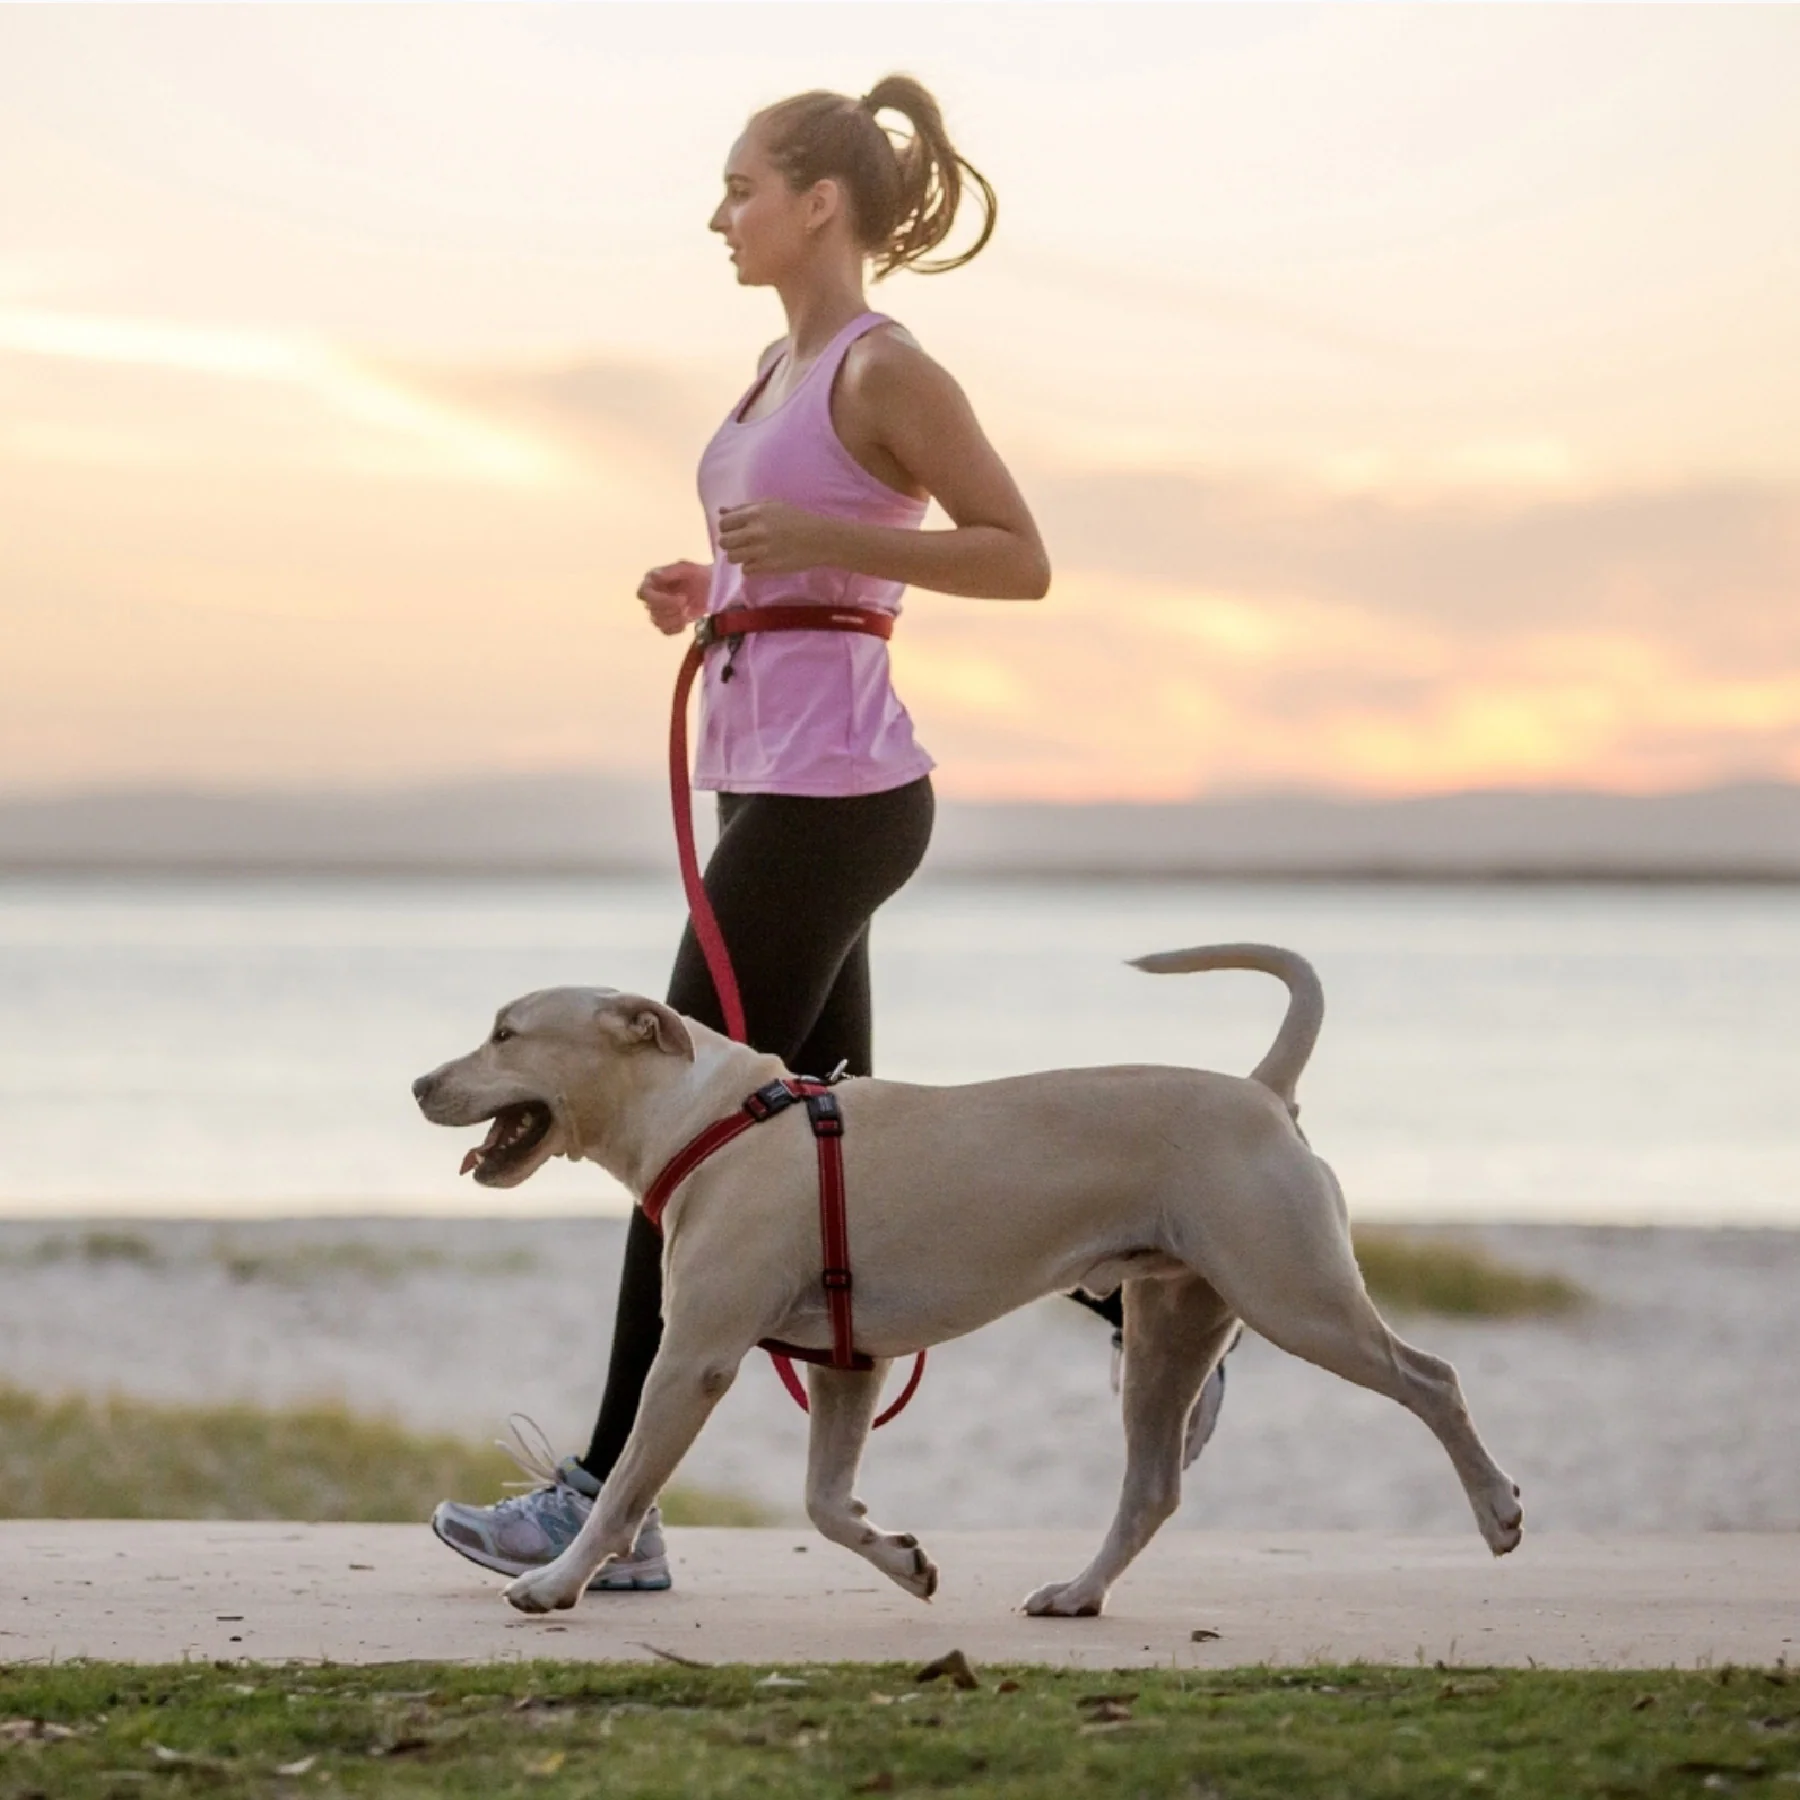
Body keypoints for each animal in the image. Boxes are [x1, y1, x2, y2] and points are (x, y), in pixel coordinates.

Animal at [417, 943, 1519, 1620]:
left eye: (507, 1032)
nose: (420, 1083)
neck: (713, 1117)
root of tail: (1261, 1093)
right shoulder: (849, 1365)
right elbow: (824, 1503)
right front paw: (904, 1560)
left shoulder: (693, 1360)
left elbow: (625, 1489)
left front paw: (553, 1585)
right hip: (1171, 1324)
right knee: (1153, 1484)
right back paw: (1076, 1593)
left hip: (1293, 1294)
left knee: (1432, 1379)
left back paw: (1499, 1512)